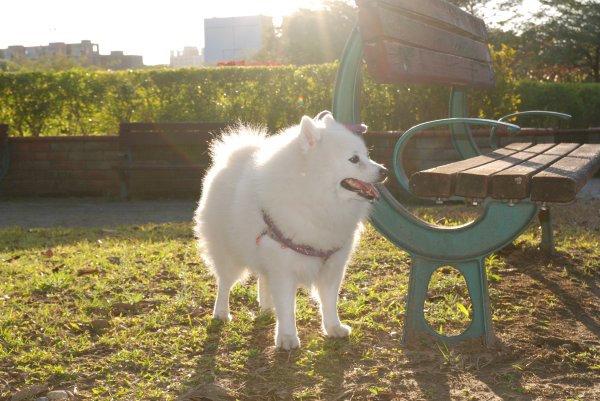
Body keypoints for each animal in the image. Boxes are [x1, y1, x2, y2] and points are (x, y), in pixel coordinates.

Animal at [195, 111, 386, 348]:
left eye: (367, 155)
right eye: (354, 159)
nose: (384, 171)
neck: (316, 198)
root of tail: (232, 158)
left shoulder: (332, 266)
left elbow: (329, 301)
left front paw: (333, 327)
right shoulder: (284, 267)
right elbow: (287, 306)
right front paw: (287, 337)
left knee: (263, 279)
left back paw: (266, 309)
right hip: (229, 254)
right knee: (224, 283)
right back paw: (221, 312)